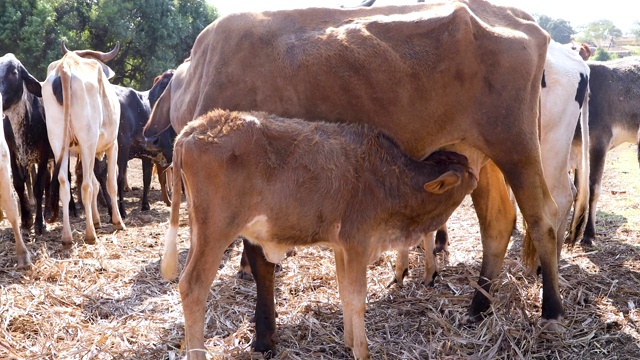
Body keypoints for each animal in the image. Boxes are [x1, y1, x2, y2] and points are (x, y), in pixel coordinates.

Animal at [40, 40, 125, 246]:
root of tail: (65, 67)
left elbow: (95, 183)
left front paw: (97, 219)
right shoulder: (111, 145)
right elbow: (110, 183)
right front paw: (117, 221)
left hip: (58, 142)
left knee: (64, 183)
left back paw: (67, 236)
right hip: (88, 141)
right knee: (86, 186)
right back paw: (90, 234)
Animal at [162, 108, 478, 358]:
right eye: (465, 170)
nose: (477, 175)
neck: (389, 179)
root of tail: (196, 127)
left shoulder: (341, 247)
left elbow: (344, 292)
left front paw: (349, 342)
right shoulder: (358, 243)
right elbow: (357, 298)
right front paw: (362, 350)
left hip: (198, 232)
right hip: (216, 232)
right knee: (192, 287)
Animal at [568, 57, 640, 248]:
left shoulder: (599, 143)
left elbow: (593, 189)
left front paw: (588, 234)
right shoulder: (578, 151)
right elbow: (578, 190)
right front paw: (571, 233)